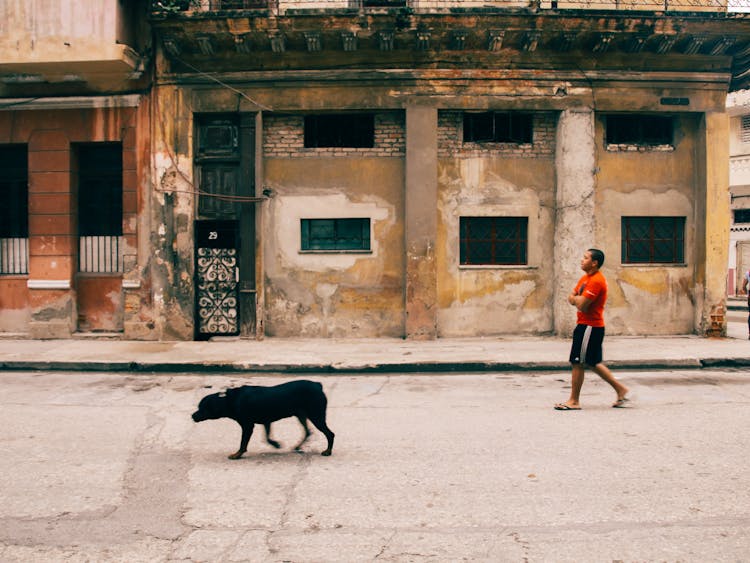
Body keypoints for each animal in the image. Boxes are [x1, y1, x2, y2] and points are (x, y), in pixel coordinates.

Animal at [192, 382, 336, 460]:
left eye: (202, 408)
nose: (192, 416)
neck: (229, 400)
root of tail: (318, 385)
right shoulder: (266, 421)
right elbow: (267, 437)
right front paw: (276, 444)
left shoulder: (247, 425)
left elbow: (243, 443)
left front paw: (237, 454)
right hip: (302, 415)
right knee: (308, 431)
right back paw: (298, 446)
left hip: (317, 416)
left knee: (330, 433)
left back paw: (328, 451)